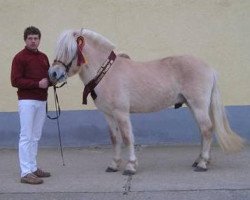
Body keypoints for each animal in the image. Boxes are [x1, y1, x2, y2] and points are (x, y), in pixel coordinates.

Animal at [48, 28, 244, 175]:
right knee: (203, 131)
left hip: (198, 105)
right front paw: (113, 165)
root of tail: (209, 68)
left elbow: (127, 137)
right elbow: (115, 138)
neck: (107, 73)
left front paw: (130, 166)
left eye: (69, 50)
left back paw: (203, 164)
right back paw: (199, 161)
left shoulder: (121, 113)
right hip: (192, 106)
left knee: (207, 129)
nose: (53, 74)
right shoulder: (108, 115)